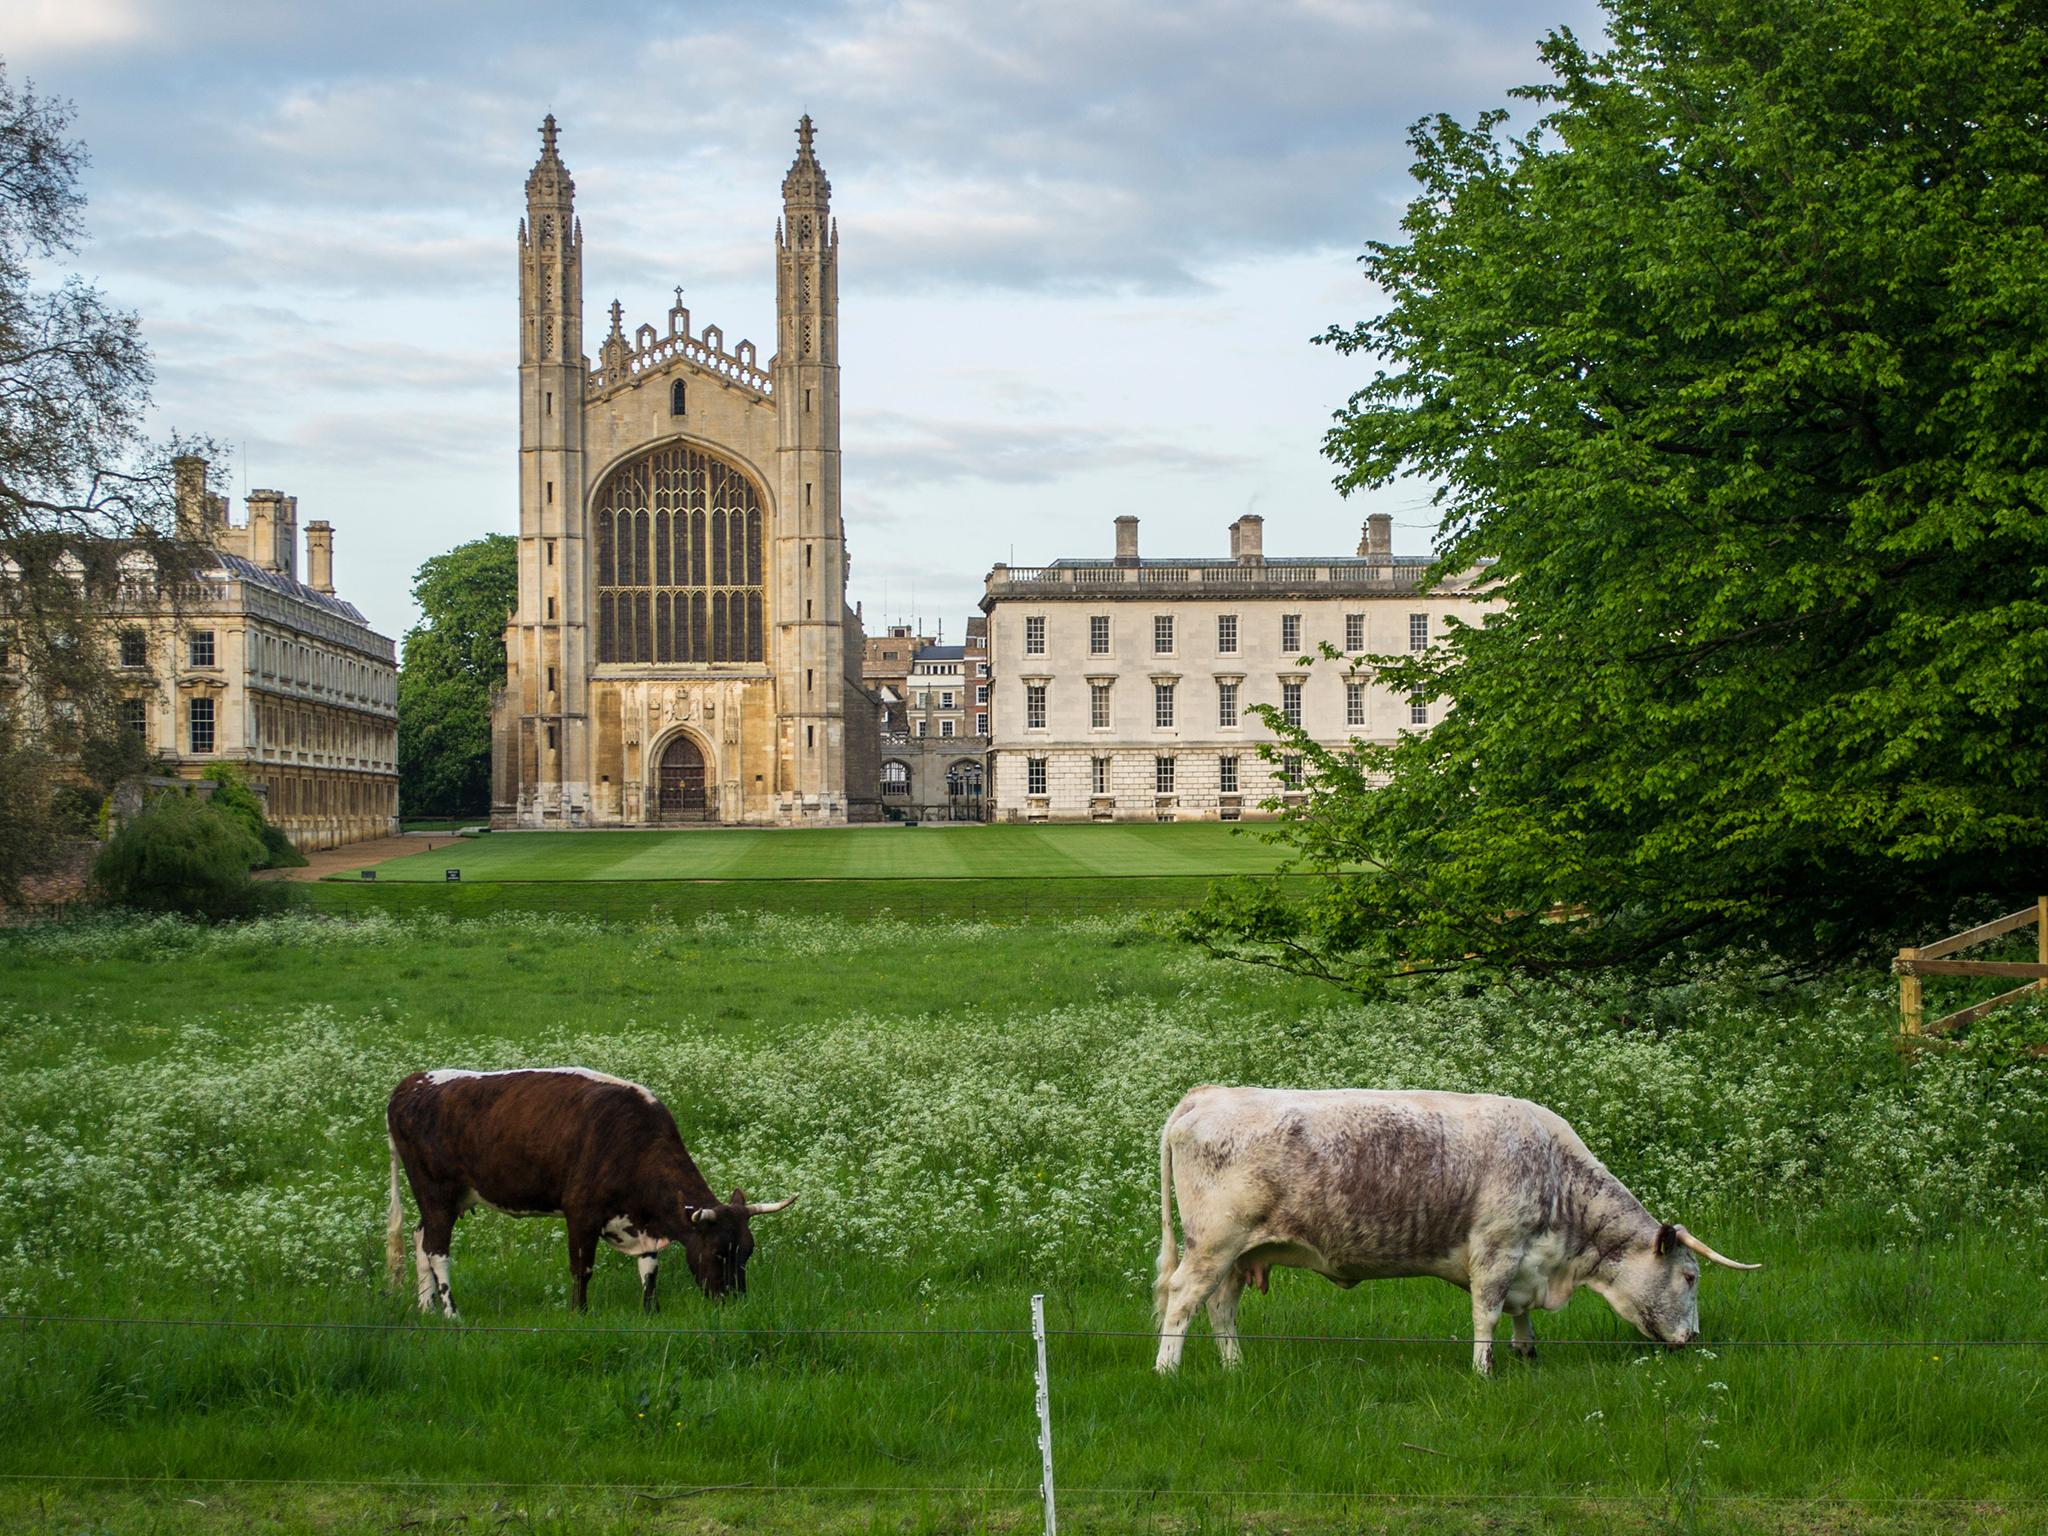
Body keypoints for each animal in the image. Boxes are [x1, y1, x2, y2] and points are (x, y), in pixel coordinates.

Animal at [387, 1073, 794, 1327]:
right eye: (717, 1253)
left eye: (747, 1252)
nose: (734, 1303)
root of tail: (412, 1082)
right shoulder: (580, 1213)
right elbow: (581, 1268)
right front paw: (578, 1313)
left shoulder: (643, 1222)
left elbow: (650, 1268)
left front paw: (651, 1311)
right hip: (437, 1192)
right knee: (438, 1251)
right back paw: (451, 1313)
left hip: (442, 1199)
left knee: (421, 1240)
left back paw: (425, 1308)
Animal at [1155, 1089, 1761, 1376]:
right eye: (1689, 1277)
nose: (1694, 1339)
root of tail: (1207, 1093)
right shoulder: (1495, 1248)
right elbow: (1486, 1313)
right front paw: (1484, 1370)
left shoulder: (1522, 1260)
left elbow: (1517, 1314)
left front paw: (1527, 1352)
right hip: (1213, 1245)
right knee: (1183, 1301)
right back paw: (1167, 1370)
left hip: (1240, 1255)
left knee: (1221, 1309)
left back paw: (1235, 1367)